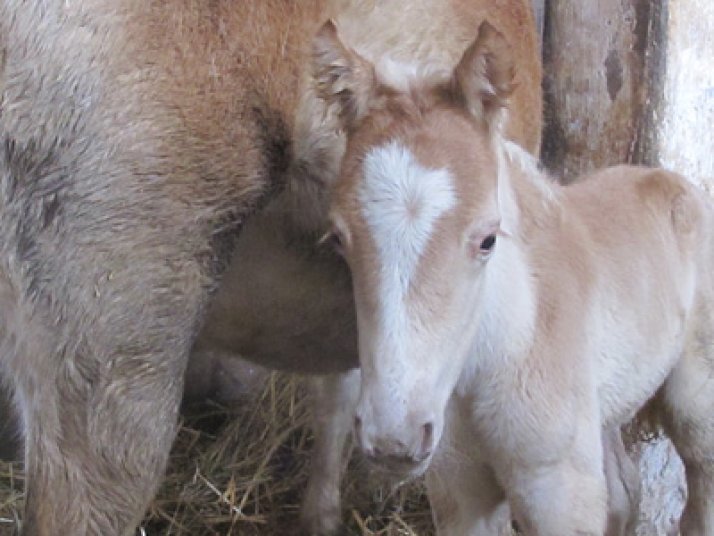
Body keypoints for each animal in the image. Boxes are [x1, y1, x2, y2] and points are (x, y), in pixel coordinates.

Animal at [314, 18, 708, 532]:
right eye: (339, 238)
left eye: (488, 240)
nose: (393, 438)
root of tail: (674, 181)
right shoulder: (462, 493)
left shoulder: (560, 494)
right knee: (625, 492)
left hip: (696, 408)